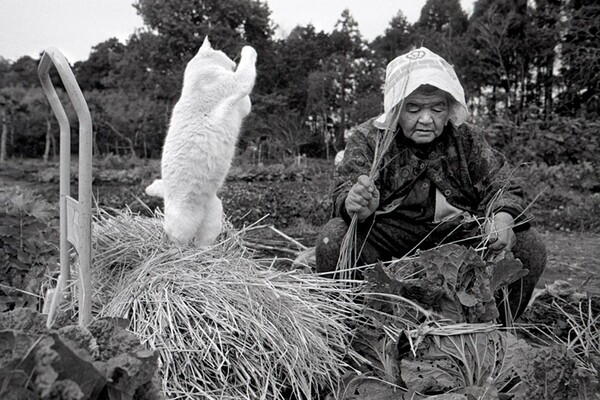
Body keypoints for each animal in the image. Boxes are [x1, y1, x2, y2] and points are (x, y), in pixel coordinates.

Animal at [147, 37, 258, 245]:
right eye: (222, 52)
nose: (232, 62)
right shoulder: (237, 82)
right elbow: (248, 66)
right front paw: (247, 48)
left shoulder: (241, 105)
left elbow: (246, 103)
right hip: (182, 225)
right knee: (178, 242)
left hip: (214, 214)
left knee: (202, 242)